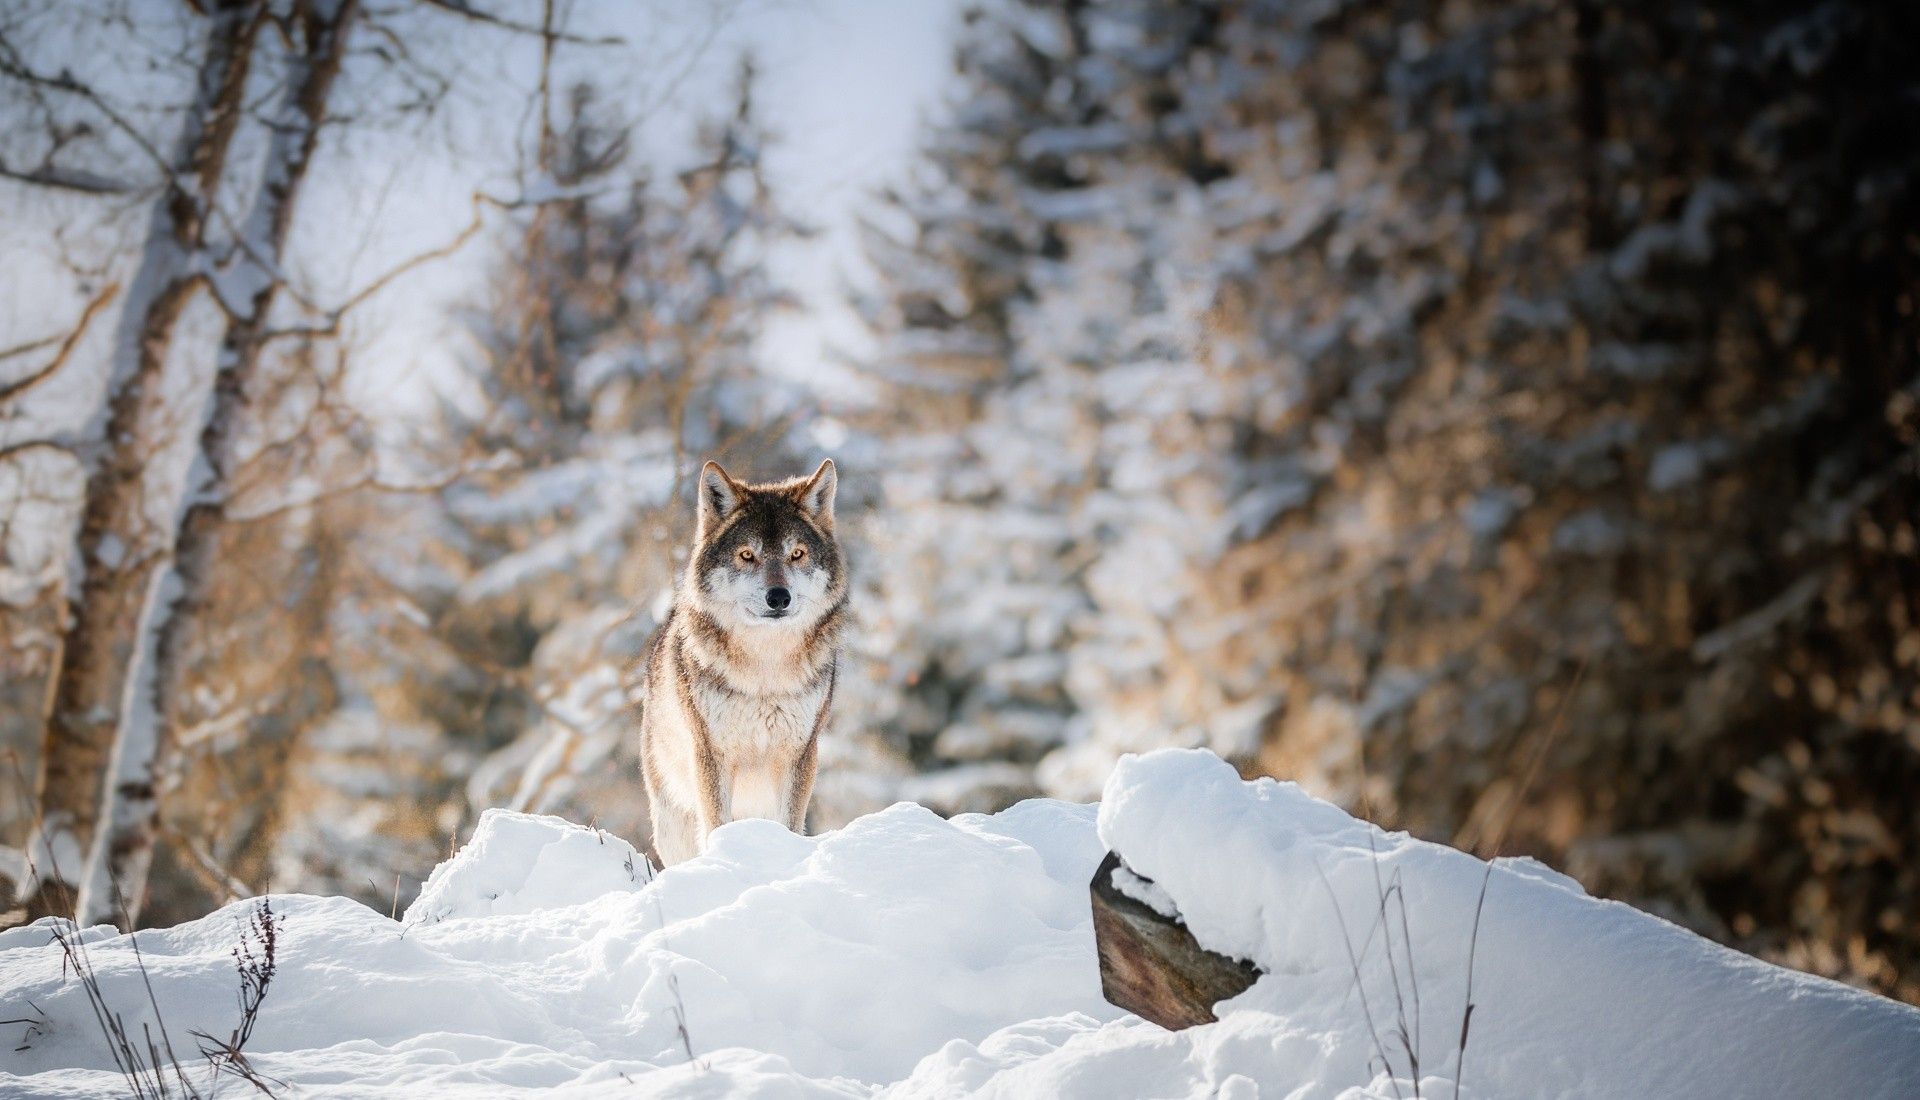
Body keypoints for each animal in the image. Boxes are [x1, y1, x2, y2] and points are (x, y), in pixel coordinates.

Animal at [641, 456, 844, 867]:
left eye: (796, 554)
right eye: (747, 555)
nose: (778, 597)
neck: (764, 670)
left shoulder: (799, 755)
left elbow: (790, 824)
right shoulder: (711, 755)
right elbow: (715, 824)